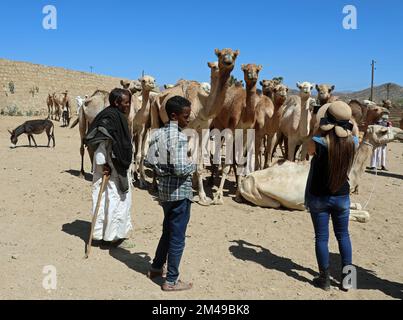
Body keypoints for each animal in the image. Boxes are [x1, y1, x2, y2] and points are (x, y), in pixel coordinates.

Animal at [151, 48, 240, 206]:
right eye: (219, 56)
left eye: (234, 55)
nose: (227, 62)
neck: (202, 107)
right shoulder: (188, 129)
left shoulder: (203, 129)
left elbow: (198, 163)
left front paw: (202, 196)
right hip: (155, 114)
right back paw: (155, 185)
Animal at [238, 124, 402, 224]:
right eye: (383, 131)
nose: (401, 132)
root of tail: (244, 181)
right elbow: (365, 215)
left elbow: (359, 205)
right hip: (262, 196)